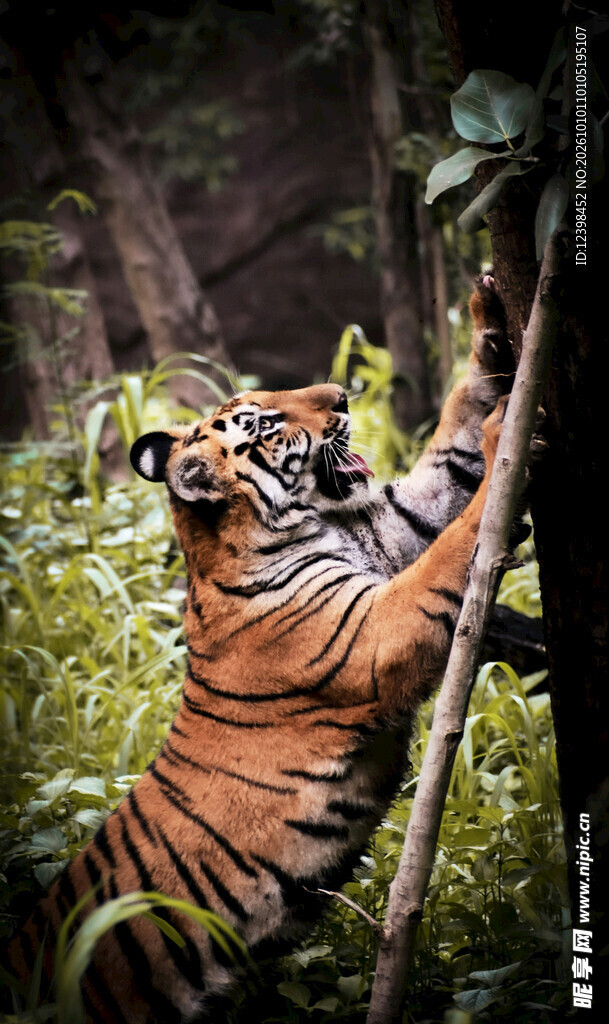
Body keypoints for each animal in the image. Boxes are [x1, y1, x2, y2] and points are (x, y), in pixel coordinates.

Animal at [8, 278, 513, 1023]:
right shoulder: (374, 632)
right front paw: (507, 431)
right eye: (265, 424)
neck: (312, 526)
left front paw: (490, 328)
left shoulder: (397, 527)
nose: (341, 394)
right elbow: (458, 541)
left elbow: (450, 454)